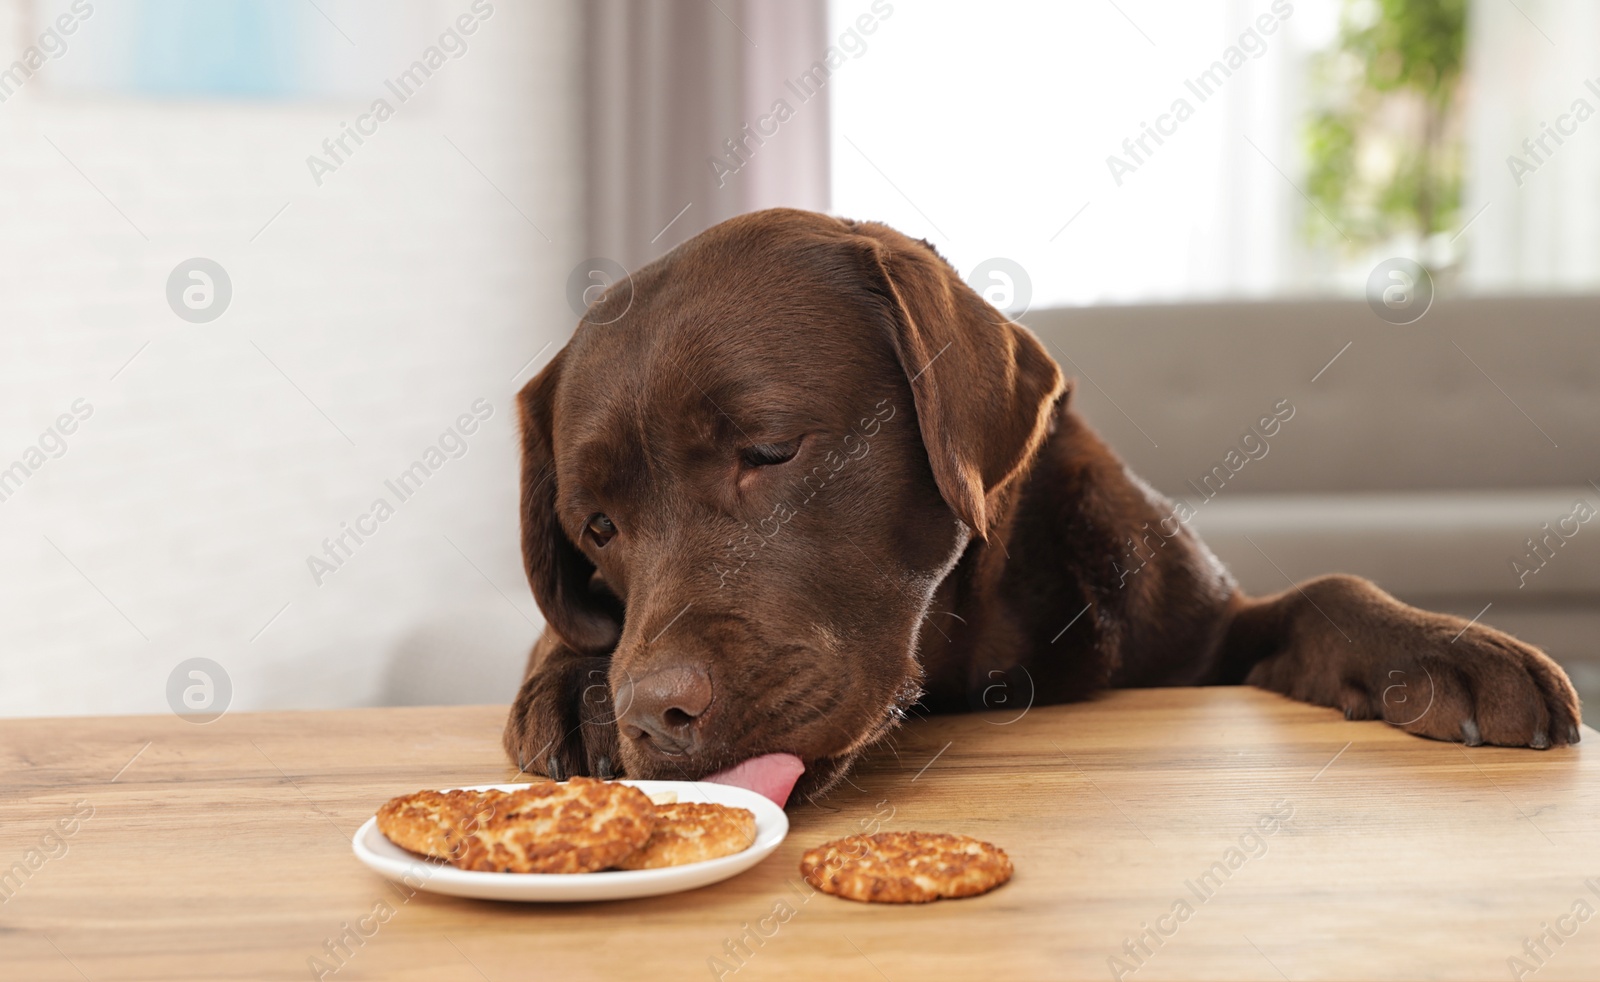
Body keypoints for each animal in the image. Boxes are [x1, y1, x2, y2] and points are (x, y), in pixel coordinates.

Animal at [505, 209, 1580, 809]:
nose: (655, 713)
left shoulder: (1204, 637)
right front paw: (577, 686)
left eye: (768, 450)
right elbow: (564, 634)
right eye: (596, 529)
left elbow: (1327, 589)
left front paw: (1449, 649)